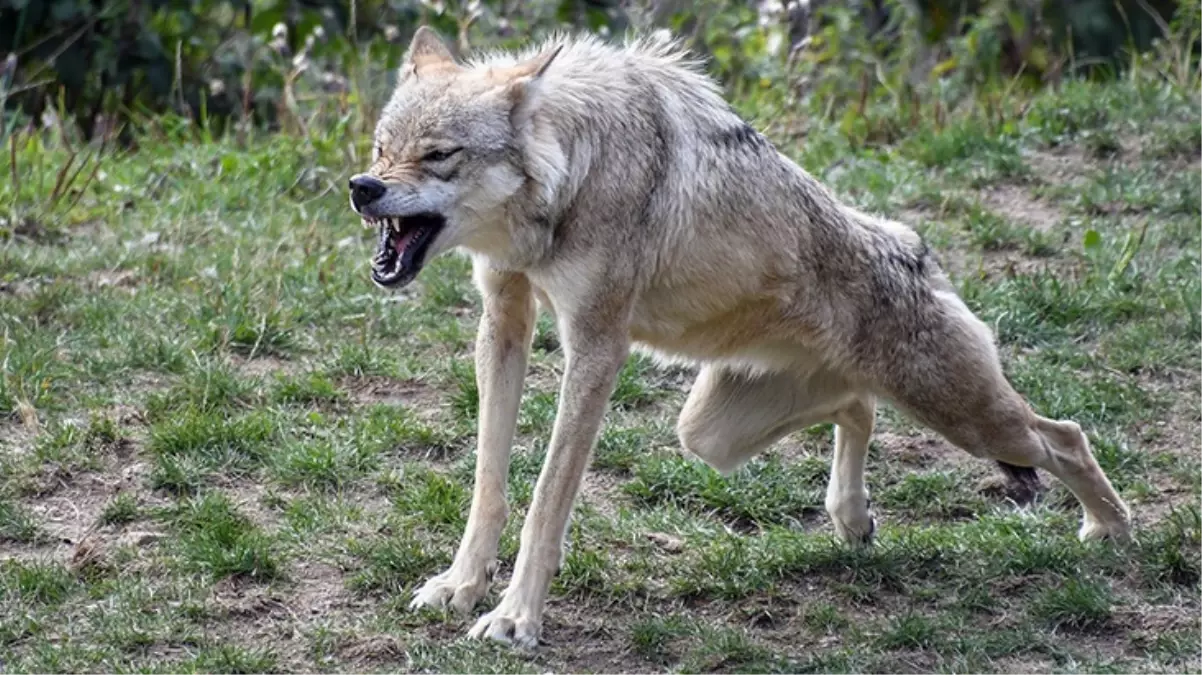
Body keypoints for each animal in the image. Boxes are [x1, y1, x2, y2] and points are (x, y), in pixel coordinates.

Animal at [343, 26, 1129, 648]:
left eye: (439, 154)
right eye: (381, 148)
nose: (362, 188)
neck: (573, 173)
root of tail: (913, 245)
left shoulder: (596, 344)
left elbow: (545, 499)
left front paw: (514, 619)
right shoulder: (503, 319)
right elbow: (490, 482)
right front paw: (461, 586)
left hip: (968, 418)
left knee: (1065, 435)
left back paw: (1112, 533)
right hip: (711, 433)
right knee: (857, 406)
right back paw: (852, 519)